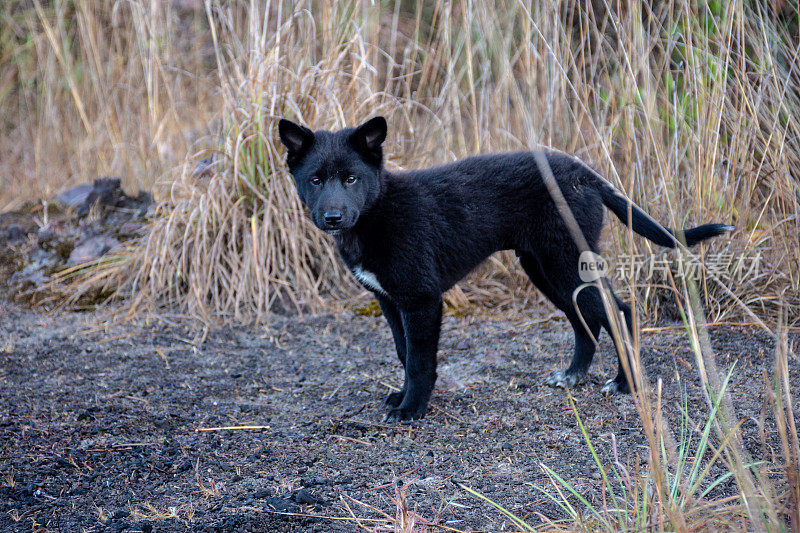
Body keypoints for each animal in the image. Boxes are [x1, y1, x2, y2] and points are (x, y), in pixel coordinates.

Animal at [278, 115, 736, 420]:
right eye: (315, 180)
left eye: (351, 179)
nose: (333, 217)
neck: (377, 214)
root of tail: (583, 172)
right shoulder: (391, 302)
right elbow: (404, 353)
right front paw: (402, 397)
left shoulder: (422, 299)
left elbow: (421, 360)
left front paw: (411, 409)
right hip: (545, 269)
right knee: (584, 319)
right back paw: (573, 375)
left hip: (566, 263)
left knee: (617, 311)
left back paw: (626, 383)